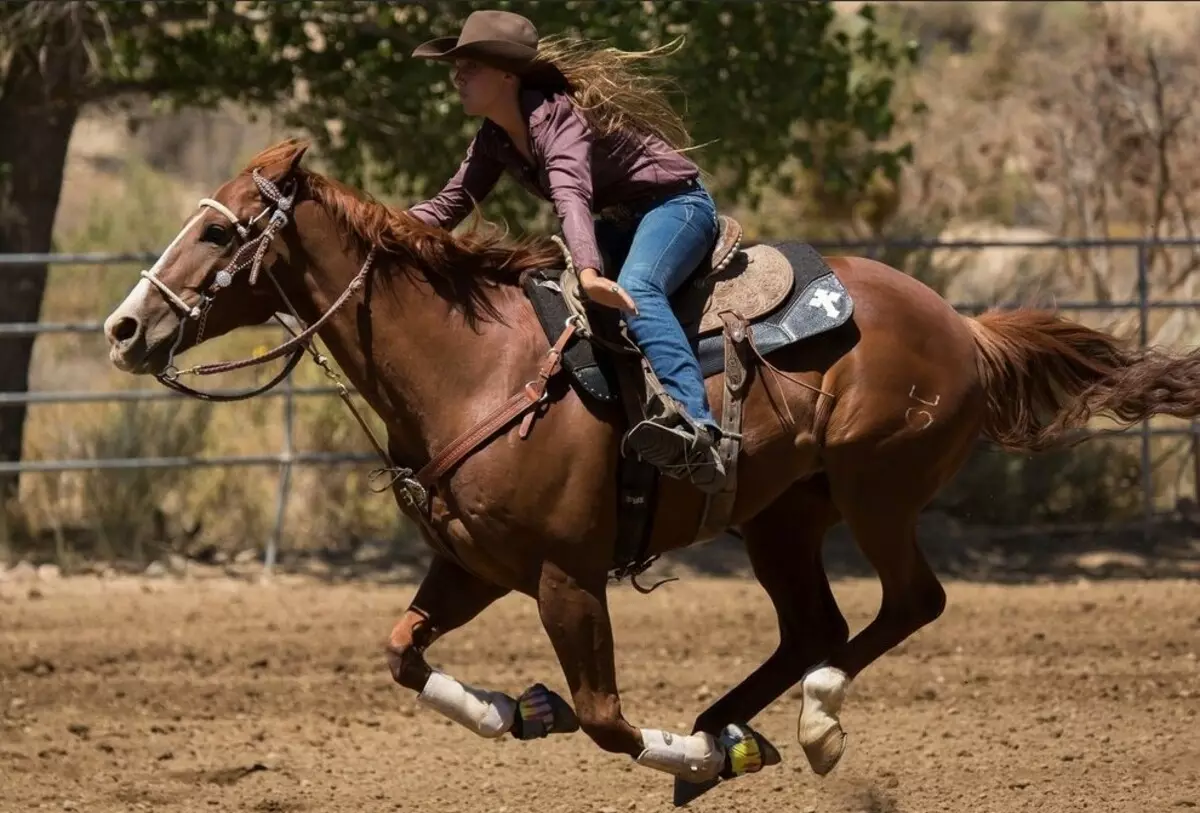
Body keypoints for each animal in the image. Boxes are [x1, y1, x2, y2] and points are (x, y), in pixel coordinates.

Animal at [98, 136, 1200, 805]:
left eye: (219, 229)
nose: (124, 327)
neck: (476, 369)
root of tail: (964, 326)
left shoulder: (565, 577)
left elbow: (607, 720)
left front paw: (659, 738)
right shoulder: (472, 566)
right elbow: (405, 654)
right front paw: (517, 710)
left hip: (876, 489)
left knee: (905, 605)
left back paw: (797, 726)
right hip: (781, 517)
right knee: (815, 624)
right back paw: (729, 732)